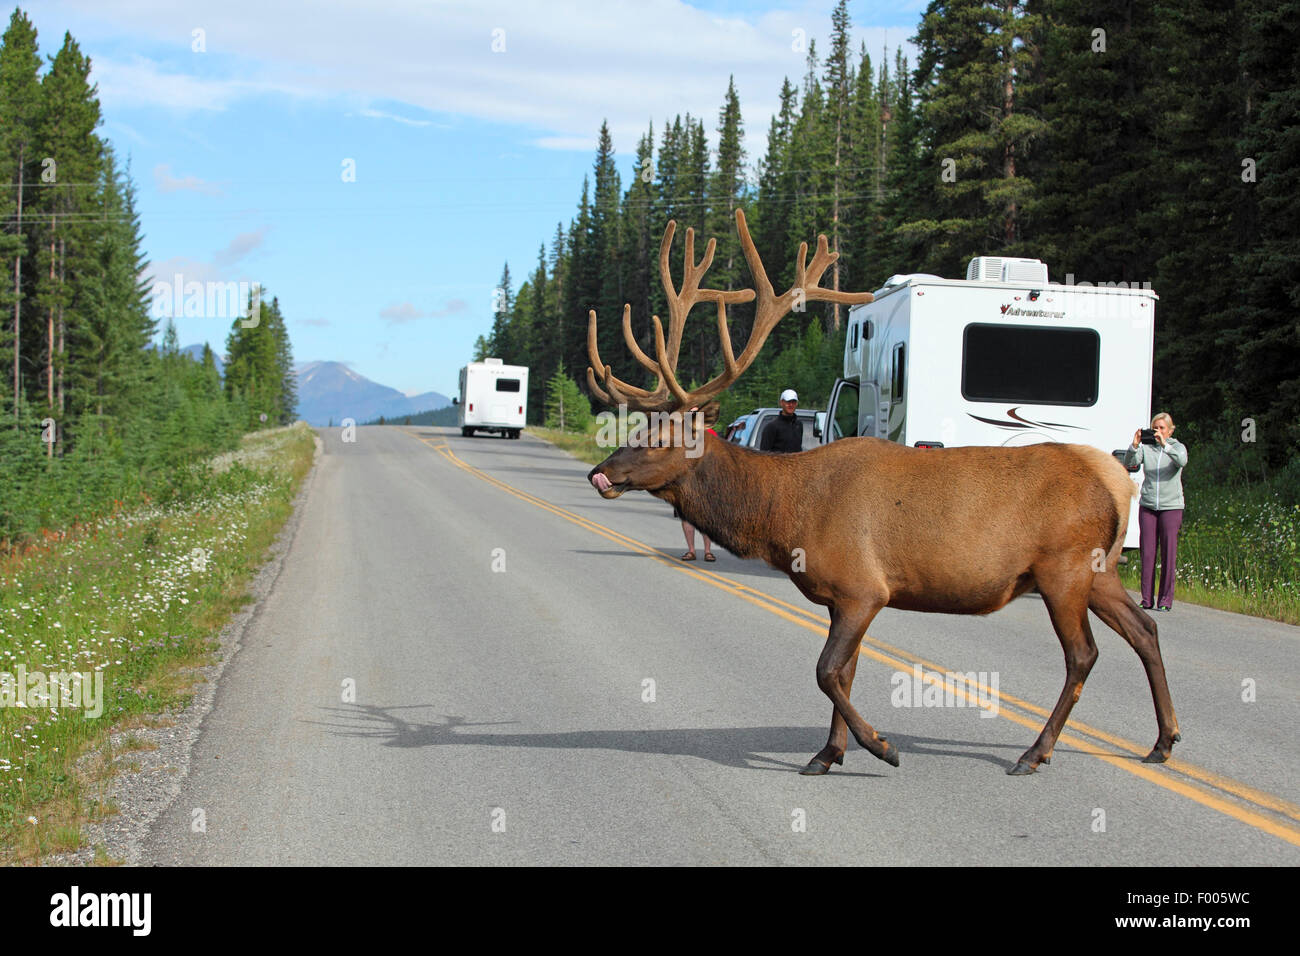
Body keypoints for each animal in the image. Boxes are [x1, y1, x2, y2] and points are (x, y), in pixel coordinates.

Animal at [585, 209, 1181, 777]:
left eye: (658, 439)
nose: (599, 473)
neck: (784, 517)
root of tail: (1115, 481)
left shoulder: (863, 587)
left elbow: (827, 671)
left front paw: (880, 747)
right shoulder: (841, 596)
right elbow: (844, 673)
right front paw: (828, 754)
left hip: (1064, 567)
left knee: (1084, 654)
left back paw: (1036, 752)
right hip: (1099, 570)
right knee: (1146, 629)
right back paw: (1162, 742)